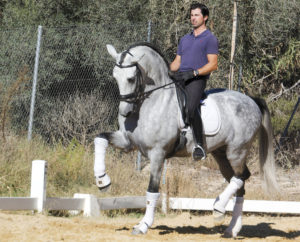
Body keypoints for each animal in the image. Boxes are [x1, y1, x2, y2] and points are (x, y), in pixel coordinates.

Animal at [94, 42, 278, 237]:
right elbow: (100, 138)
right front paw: (102, 180)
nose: (125, 112)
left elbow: (152, 190)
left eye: (130, 79)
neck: (150, 102)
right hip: (222, 155)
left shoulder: (157, 153)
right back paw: (231, 228)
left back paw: (218, 208)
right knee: (240, 183)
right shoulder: (127, 142)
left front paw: (143, 225)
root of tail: (252, 101)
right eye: (115, 76)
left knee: (242, 176)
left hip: (237, 151)